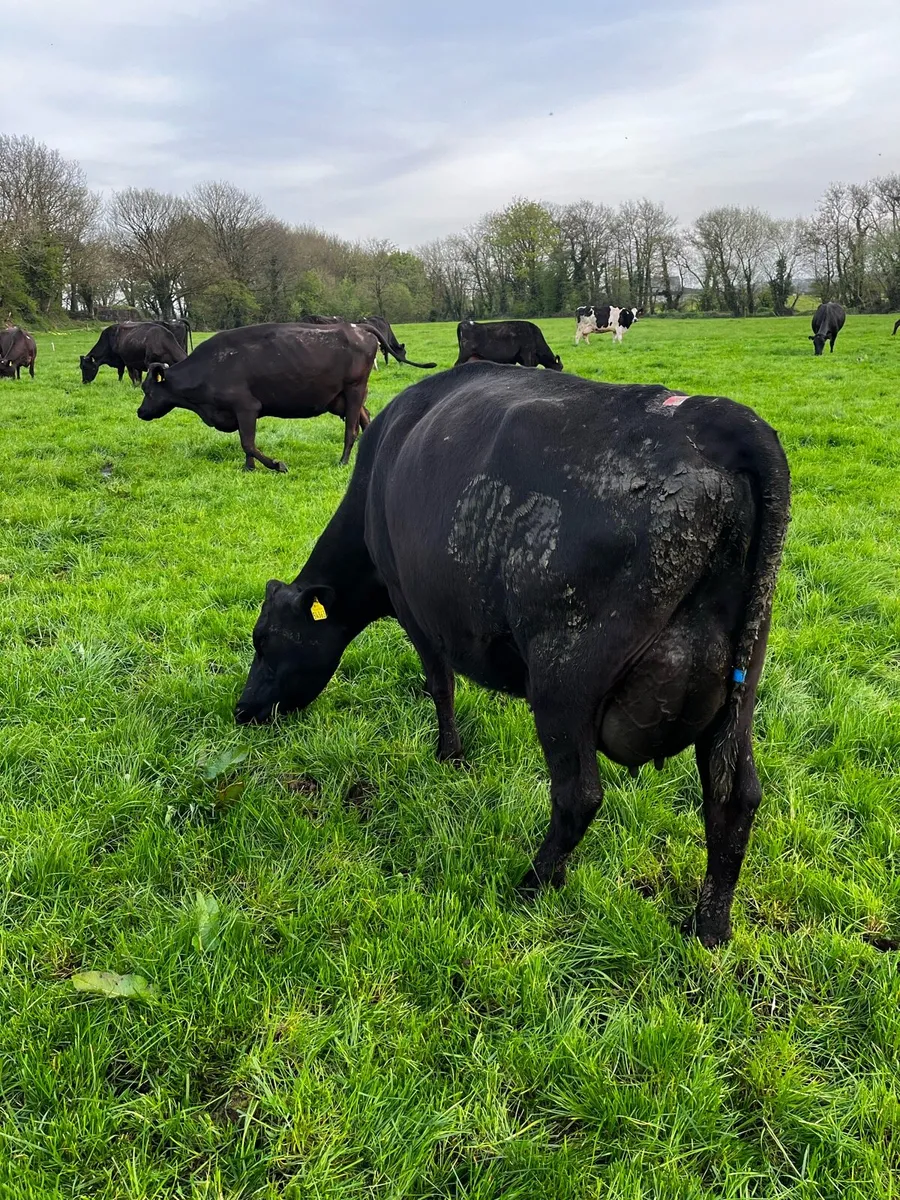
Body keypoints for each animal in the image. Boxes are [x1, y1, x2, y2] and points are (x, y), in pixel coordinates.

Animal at [137, 321, 378, 470]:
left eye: (147, 390)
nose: (140, 412)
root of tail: (356, 326)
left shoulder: (246, 407)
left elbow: (248, 443)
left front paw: (275, 465)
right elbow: (247, 443)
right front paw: (249, 468)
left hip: (354, 389)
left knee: (351, 430)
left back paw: (343, 462)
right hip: (339, 398)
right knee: (365, 418)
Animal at [235, 362, 791, 948]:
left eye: (264, 640)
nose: (242, 710)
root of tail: (713, 417)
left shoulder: (415, 609)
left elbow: (440, 685)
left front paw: (449, 755)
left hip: (563, 680)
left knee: (578, 795)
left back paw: (532, 884)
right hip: (739, 686)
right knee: (734, 797)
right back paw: (709, 927)